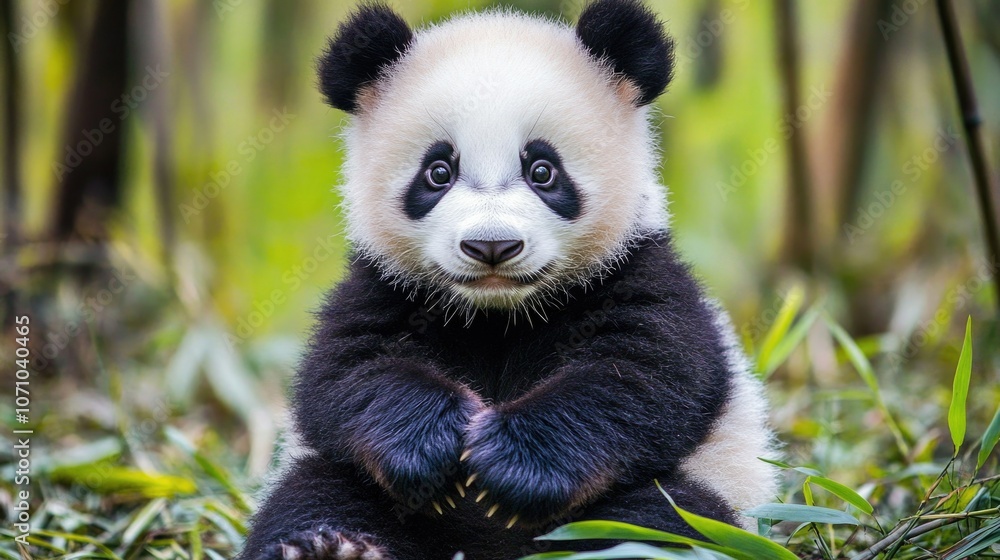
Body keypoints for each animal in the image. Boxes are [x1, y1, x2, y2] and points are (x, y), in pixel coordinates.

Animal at [241, 0, 778, 558]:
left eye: (542, 170)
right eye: (438, 171)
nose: (492, 246)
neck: (500, 312)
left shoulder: (638, 274)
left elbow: (642, 375)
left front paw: (511, 463)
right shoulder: (384, 286)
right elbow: (350, 373)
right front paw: (435, 440)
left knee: (666, 517)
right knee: (315, 492)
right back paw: (331, 546)